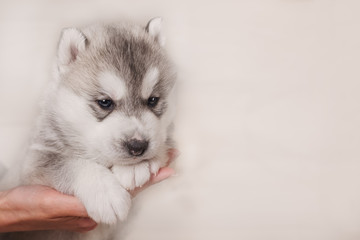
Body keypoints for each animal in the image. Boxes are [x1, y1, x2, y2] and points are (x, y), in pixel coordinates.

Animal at [1, 18, 176, 240]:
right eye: (105, 102)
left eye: (153, 100)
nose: (137, 146)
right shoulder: (35, 159)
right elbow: (71, 164)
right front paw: (105, 193)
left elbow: (163, 141)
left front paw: (135, 167)